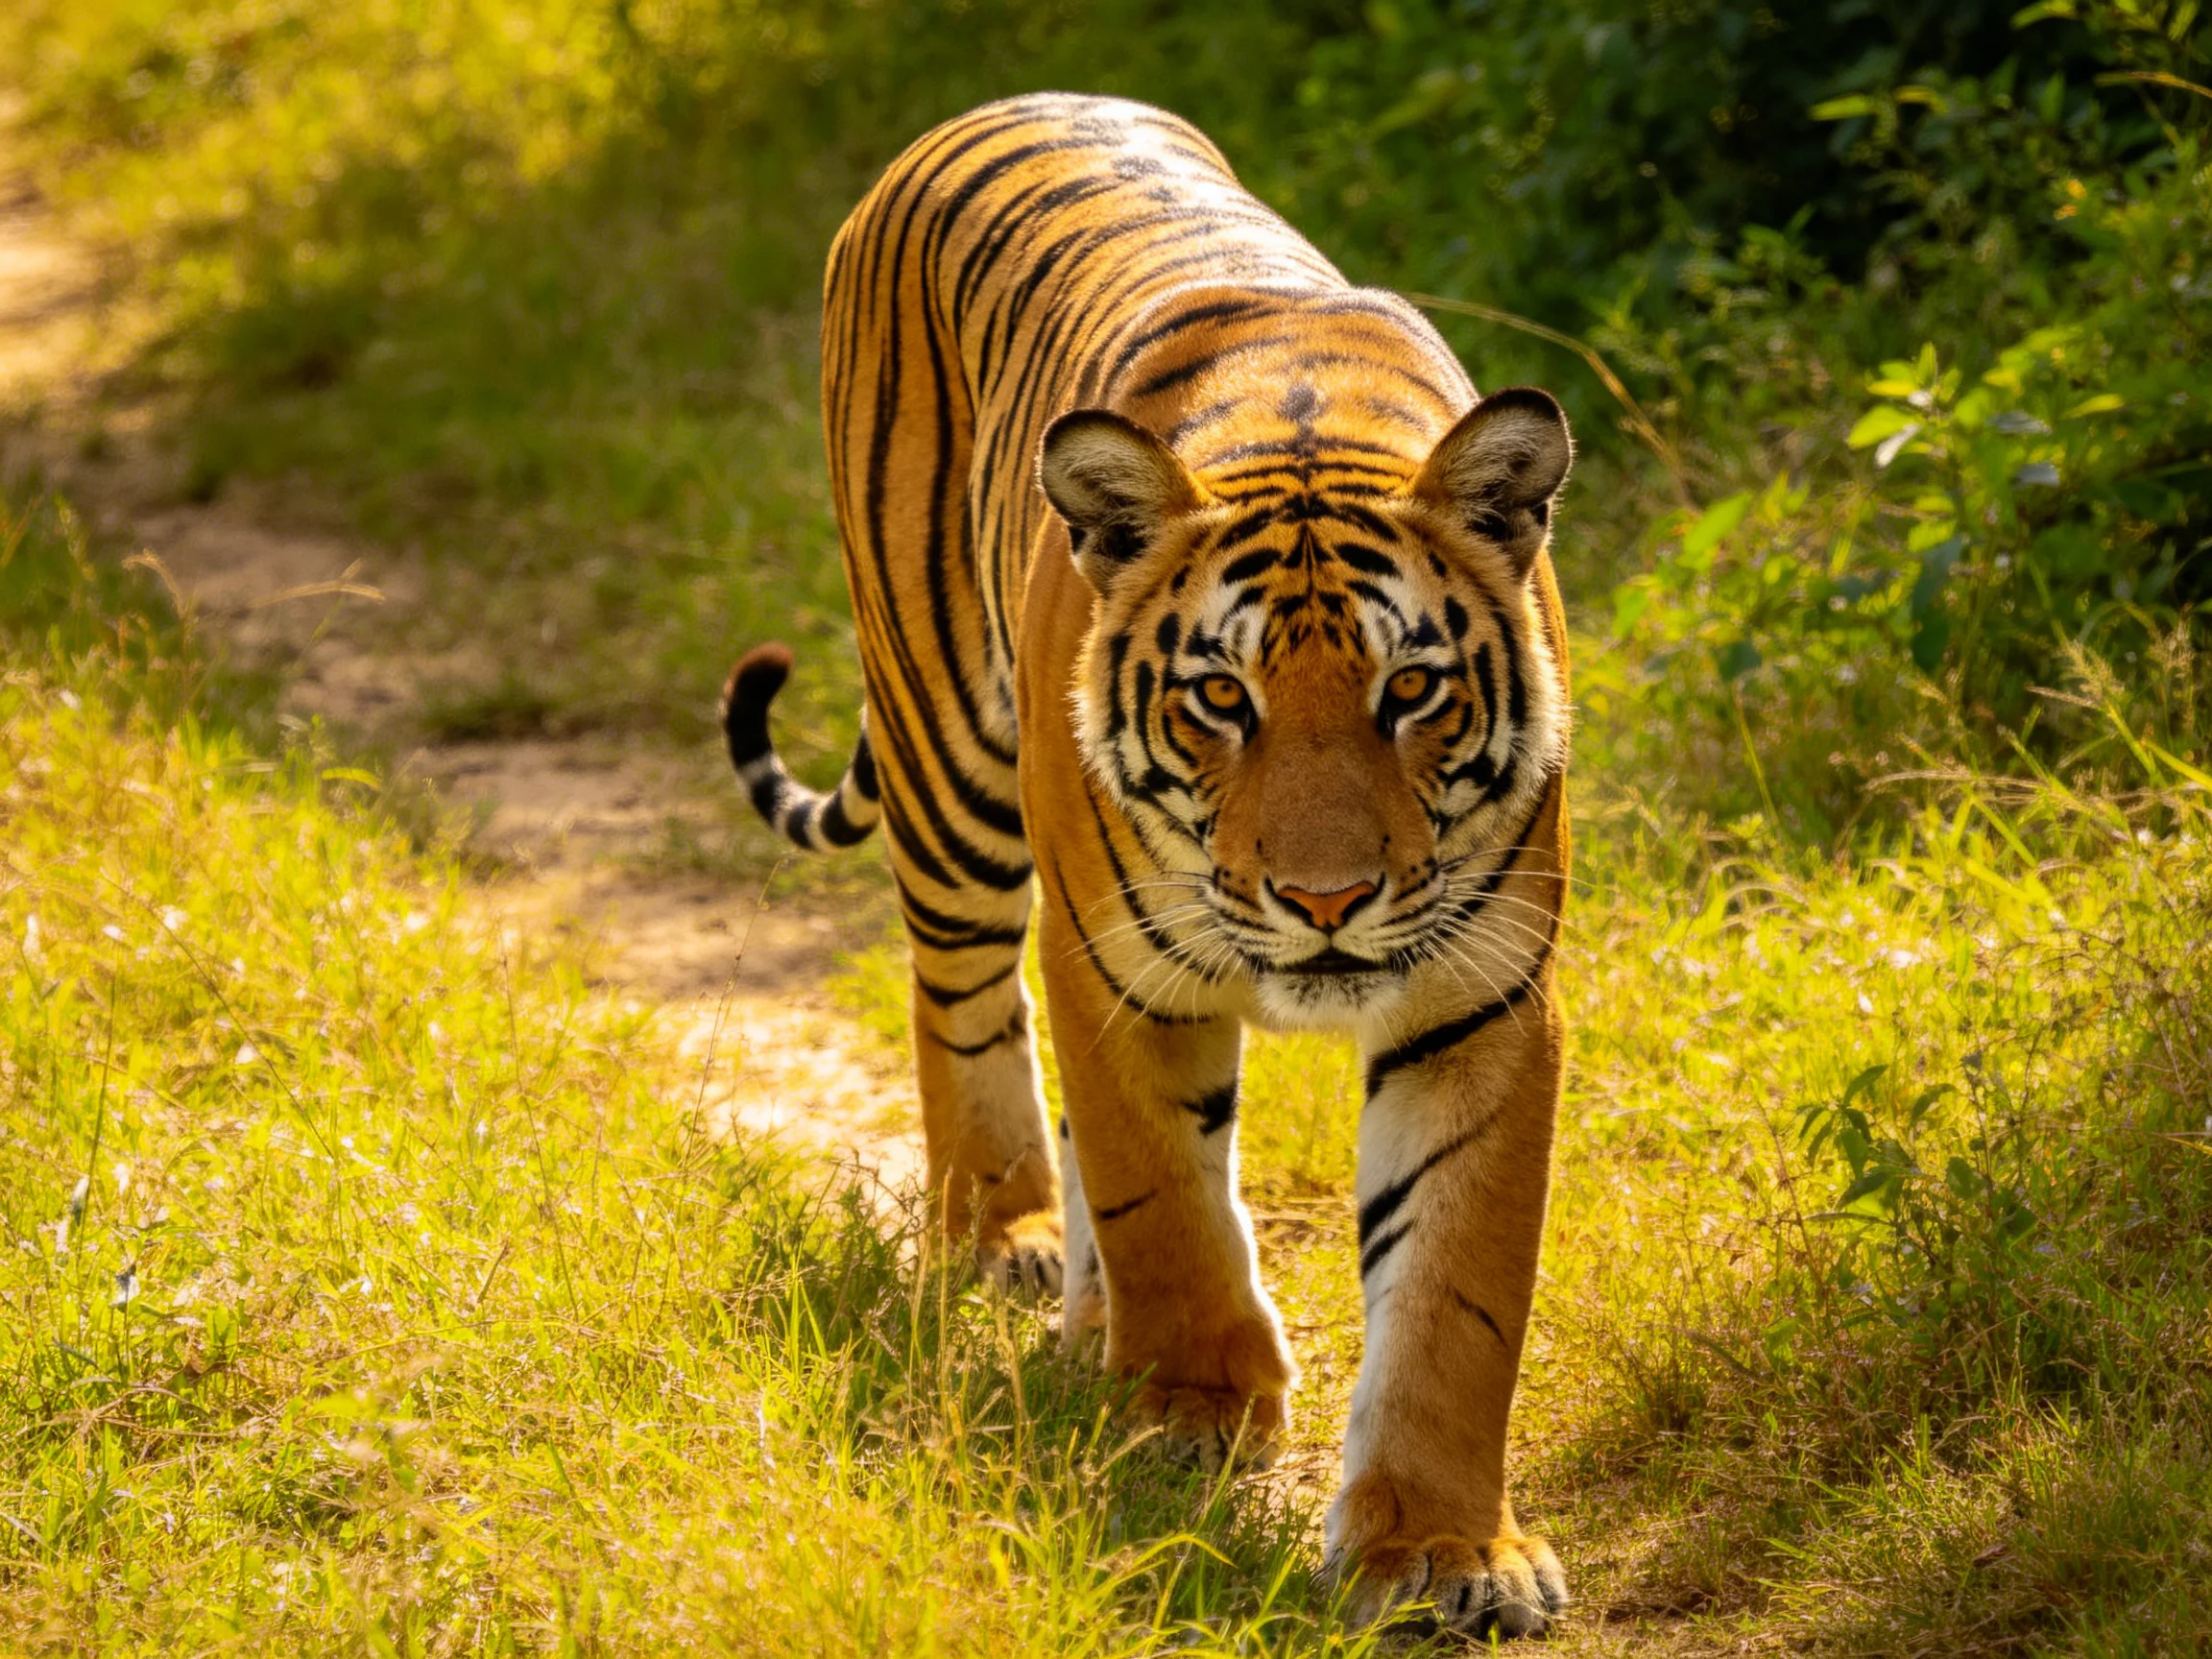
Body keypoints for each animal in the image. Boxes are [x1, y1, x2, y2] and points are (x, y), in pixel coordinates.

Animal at [722, 93, 1574, 1639]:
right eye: (1221, 698)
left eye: (1412, 690)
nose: (1326, 902)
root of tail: (996, 103)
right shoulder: (1117, 960)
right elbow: (1156, 1192)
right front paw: (1188, 1414)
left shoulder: (1481, 999)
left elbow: (1457, 1291)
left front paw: (1442, 1550)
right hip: (949, 764)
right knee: (963, 1009)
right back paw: (1009, 1239)